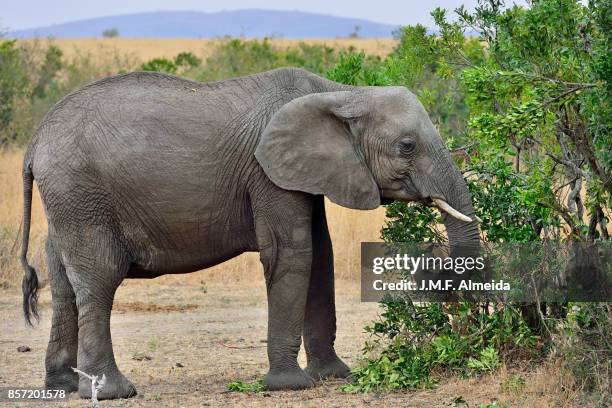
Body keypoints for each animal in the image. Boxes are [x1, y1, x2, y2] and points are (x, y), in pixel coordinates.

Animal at [17, 67, 478, 398]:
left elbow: (321, 254)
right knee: (99, 280)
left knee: (64, 283)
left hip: (67, 201)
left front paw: (335, 376)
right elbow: (292, 253)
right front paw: (289, 386)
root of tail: (34, 142)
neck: (342, 93)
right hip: (82, 196)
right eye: (407, 147)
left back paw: (62, 387)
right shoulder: (266, 174)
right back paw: (113, 392)